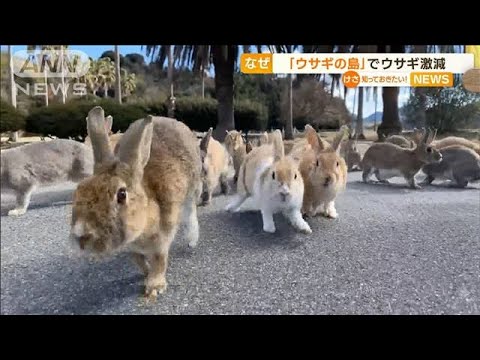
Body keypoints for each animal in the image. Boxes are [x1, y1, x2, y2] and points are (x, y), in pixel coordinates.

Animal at [69, 106, 201, 298]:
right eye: (79, 189)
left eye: (121, 194)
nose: (81, 236)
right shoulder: (132, 249)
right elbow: (138, 260)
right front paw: (145, 274)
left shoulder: (162, 239)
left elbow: (160, 261)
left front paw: (155, 286)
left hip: (194, 186)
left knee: (191, 210)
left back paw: (192, 239)